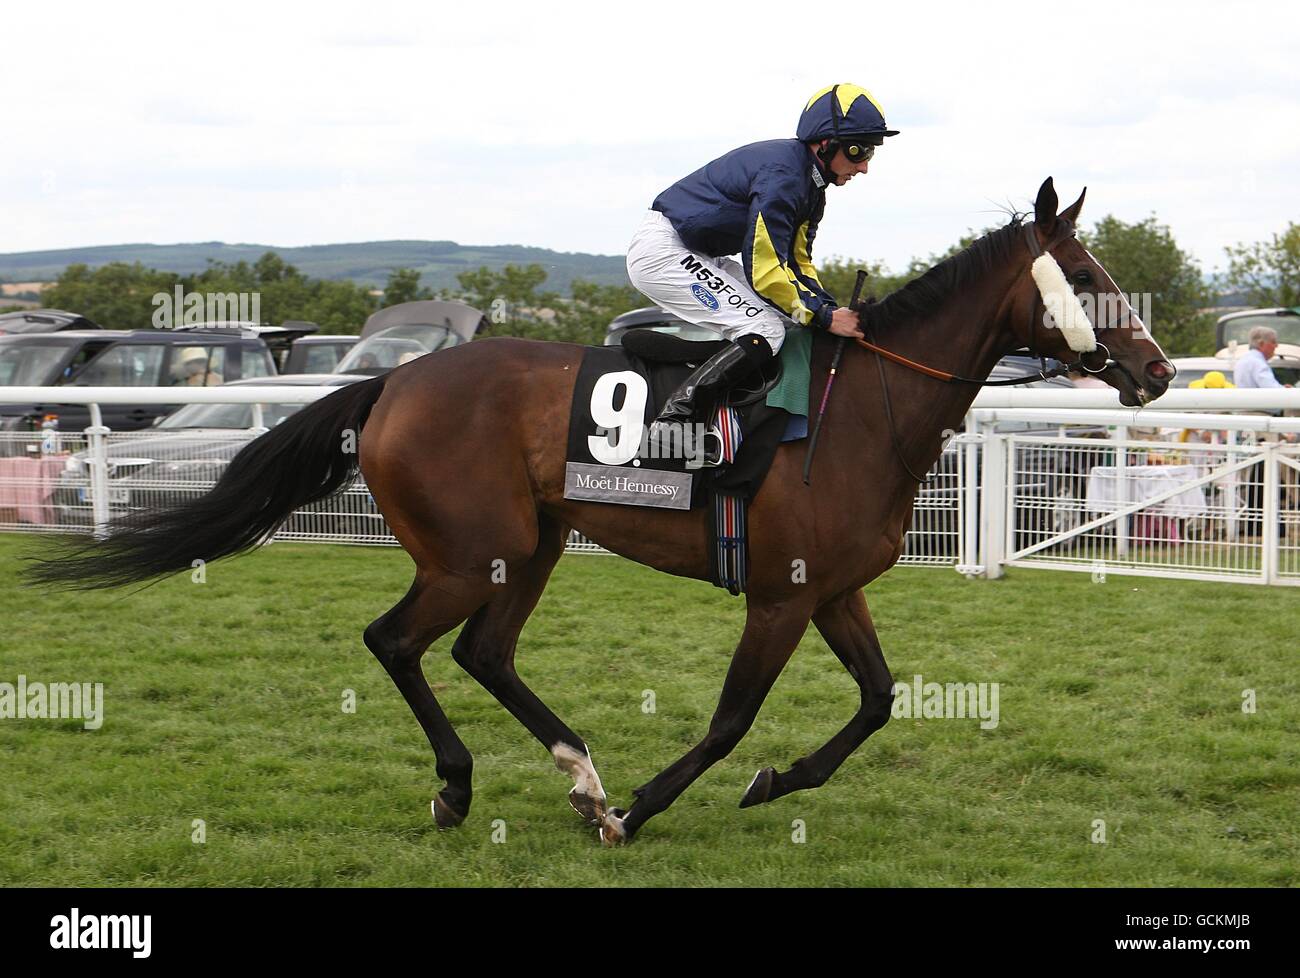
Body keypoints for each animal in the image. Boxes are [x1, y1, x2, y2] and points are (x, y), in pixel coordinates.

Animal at [25, 178, 1180, 847]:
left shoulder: (830, 590)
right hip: (471, 552)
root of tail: (391, 385)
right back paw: (468, 789)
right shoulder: (778, 596)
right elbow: (730, 717)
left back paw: (575, 775)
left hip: (528, 545)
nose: (1158, 372)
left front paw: (773, 783)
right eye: (1086, 272)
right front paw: (646, 807)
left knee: (481, 653)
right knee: (397, 641)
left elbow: (880, 701)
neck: (863, 408)